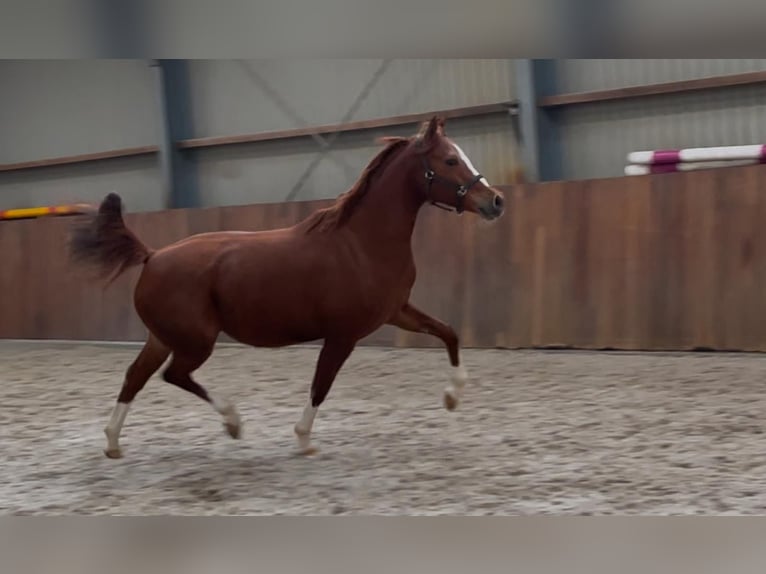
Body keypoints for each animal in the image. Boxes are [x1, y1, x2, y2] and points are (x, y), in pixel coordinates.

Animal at [69, 116, 508, 460]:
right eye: (450, 160)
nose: (496, 202)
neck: (361, 243)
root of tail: (153, 255)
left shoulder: (397, 312)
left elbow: (449, 333)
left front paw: (452, 397)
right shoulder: (343, 335)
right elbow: (320, 386)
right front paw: (303, 440)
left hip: (163, 337)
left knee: (136, 376)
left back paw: (113, 443)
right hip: (196, 341)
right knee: (173, 375)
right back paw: (233, 422)